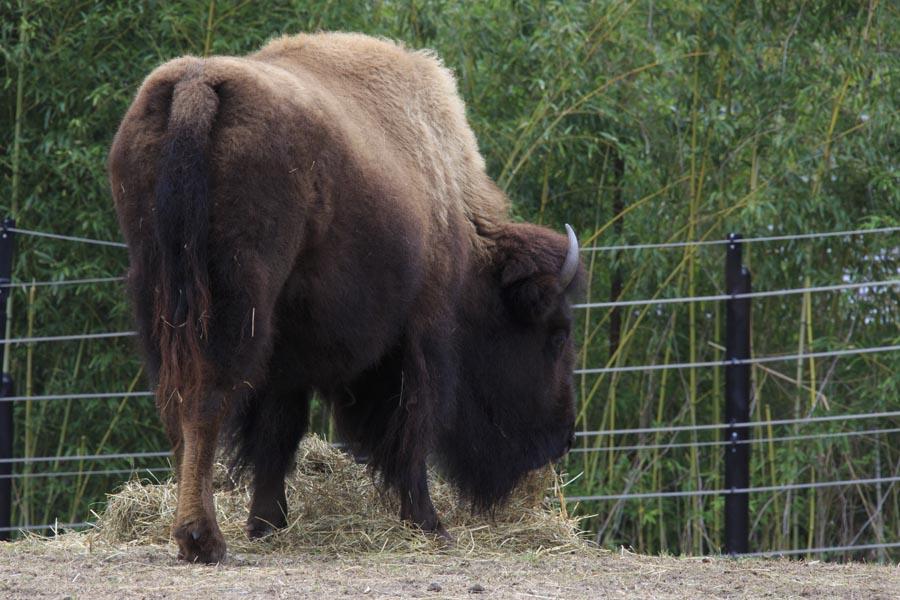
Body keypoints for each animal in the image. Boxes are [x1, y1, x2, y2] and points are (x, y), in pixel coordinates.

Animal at [109, 32, 584, 564]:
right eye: (557, 334)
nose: (565, 438)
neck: (448, 203)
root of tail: (197, 86)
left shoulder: (287, 351)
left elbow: (278, 429)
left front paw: (268, 523)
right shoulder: (420, 332)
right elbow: (412, 425)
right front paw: (430, 525)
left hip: (159, 294)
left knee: (177, 403)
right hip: (233, 302)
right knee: (207, 398)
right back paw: (202, 538)